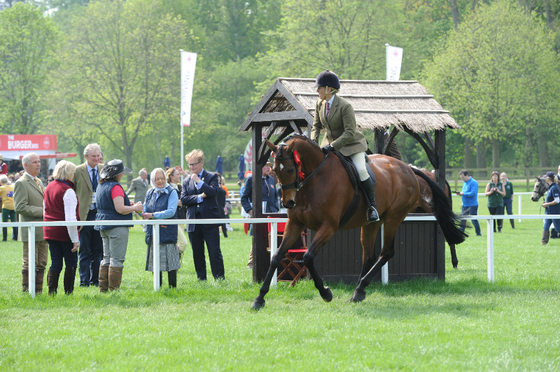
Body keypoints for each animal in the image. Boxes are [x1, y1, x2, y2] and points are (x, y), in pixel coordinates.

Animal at [252, 135, 466, 310]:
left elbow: (308, 257)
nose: (288, 202)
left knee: (386, 253)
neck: (314, 180)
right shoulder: (295, 225)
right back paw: (358, 292)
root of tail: (409, 169)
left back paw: (359, 289)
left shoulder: (328, 227)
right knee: (368, 257)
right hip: (371, 224)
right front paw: (259, 299)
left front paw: (325, 292)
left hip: (393, 218)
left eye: (290, 169)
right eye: (274, 170)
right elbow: (276, 257)